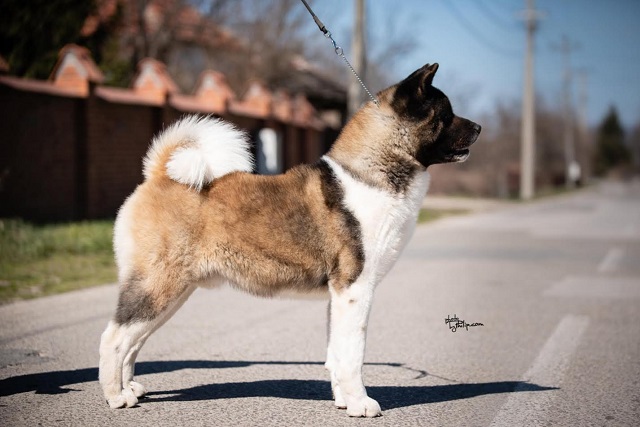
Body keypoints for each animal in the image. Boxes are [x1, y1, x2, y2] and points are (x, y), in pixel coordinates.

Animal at [99, 63, 480, 418]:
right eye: (445, 115)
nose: (478, 128)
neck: (369, 176)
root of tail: (159, 176)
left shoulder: (338, 296)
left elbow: (336, 354)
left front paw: (344, 401)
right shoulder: (355, 290)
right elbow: (353, 354)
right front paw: (362, 403)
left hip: (173, 293)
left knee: (133, 340)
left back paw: (131, 388)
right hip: (158, 286)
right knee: (113, 338)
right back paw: (116, 397)